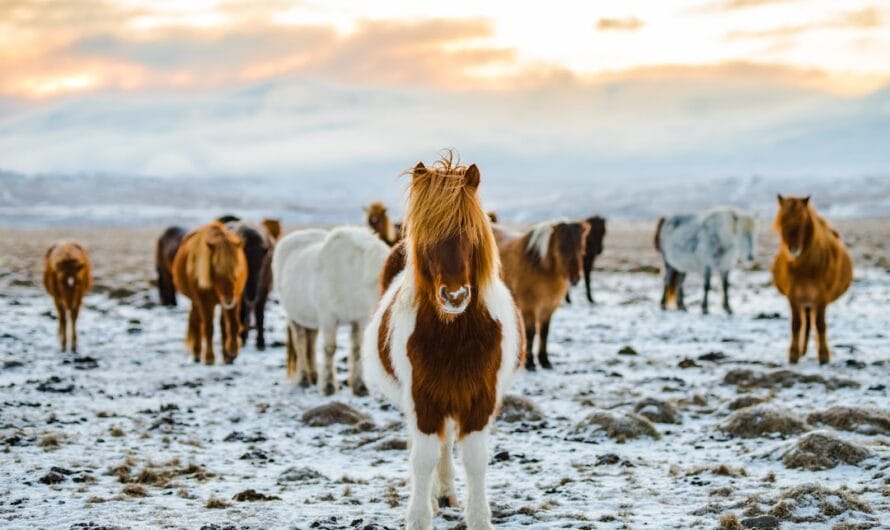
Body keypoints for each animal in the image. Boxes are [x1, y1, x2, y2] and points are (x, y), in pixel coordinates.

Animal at [172, 221, 246, 366]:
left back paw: (226, 356)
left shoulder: (237, 297)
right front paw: (209, 358)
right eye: (216, 272)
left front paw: (232, 351)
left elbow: (233, 324)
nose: (228, 300)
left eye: (237, 271)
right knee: (196, 321)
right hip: (197, 301)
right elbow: (208, 328)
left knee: (222, 325)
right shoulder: (204, 301)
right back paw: (197, 352)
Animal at [270, 223, 388, 392]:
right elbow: (330, 349)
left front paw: (360, 386)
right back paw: (304, 379)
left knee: (311, 343)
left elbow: (357, 349)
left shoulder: (360, 319)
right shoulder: (328, 317)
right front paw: (328, 386)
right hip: (294, 317)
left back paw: (314, 376)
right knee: (300, 343)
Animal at [364, 156, 524, 528]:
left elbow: (475, 459)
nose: (454, 296)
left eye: (471, 233)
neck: (454, 336)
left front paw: (478, 518)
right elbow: (422, 458)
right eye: (426, 236)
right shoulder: (423, 399)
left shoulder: (479, 399)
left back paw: (446, 494)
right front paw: (420, 517)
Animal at [496, 218, 588, 368]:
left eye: (581, 247)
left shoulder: (548, 307)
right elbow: (531, 333)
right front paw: (530, 363)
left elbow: (544, 332)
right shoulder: (529, 307)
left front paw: (545, 361)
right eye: (561, 247)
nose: (574, 279)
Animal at [768, 194, 848, 364]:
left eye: (803, 221)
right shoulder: (793, 297)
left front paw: (824, 356)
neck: (805, 270)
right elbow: (796, 324)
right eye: (782, 221)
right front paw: (793, 354)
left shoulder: (821, 297)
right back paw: (802, 350)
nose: (793, 249)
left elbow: (821, 324)